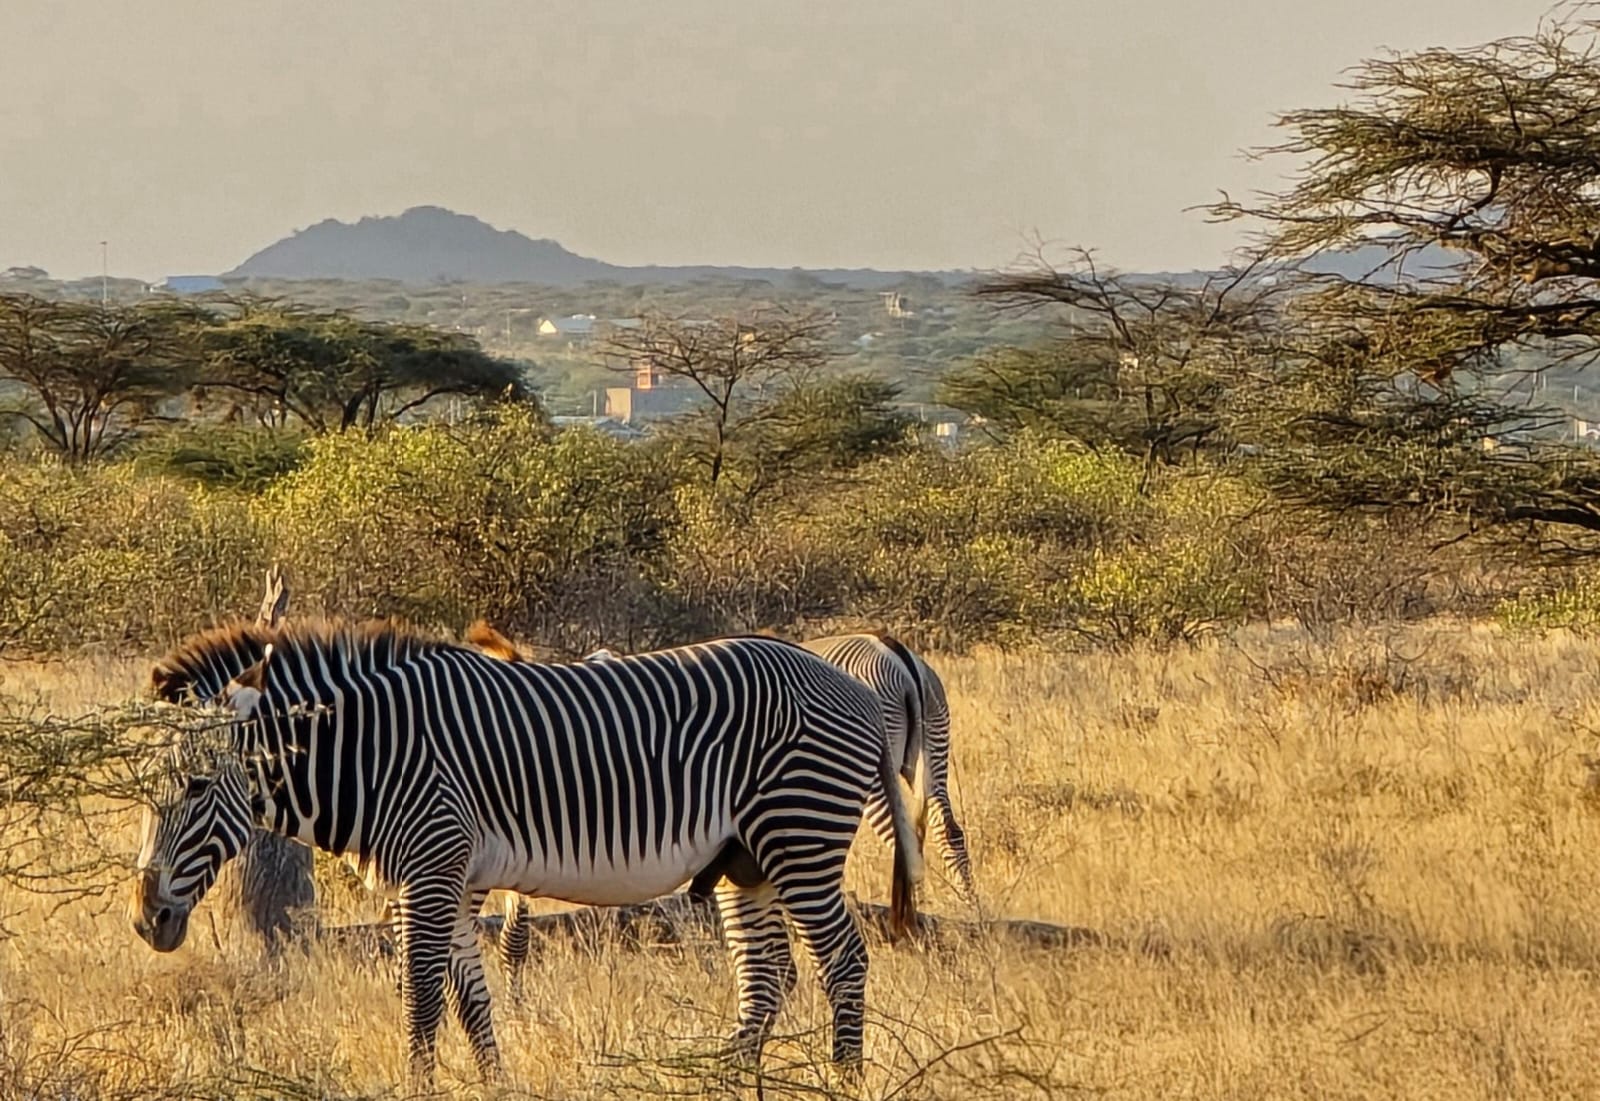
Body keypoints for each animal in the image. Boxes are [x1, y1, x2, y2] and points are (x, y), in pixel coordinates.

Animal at [130, 619, 925, 1086]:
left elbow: (421, 997)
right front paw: (494, 1083)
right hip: (745, 860)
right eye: (143, 793)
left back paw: (843, 1080)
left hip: (801, 833)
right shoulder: (453, 879)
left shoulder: (432, 865)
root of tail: (846, 679)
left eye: (197, 787)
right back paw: (722, 1078)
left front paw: (420, 1085)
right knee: (767, 973)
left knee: (842, 960)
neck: (377, 753)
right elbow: (470, 998)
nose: (146, 920)